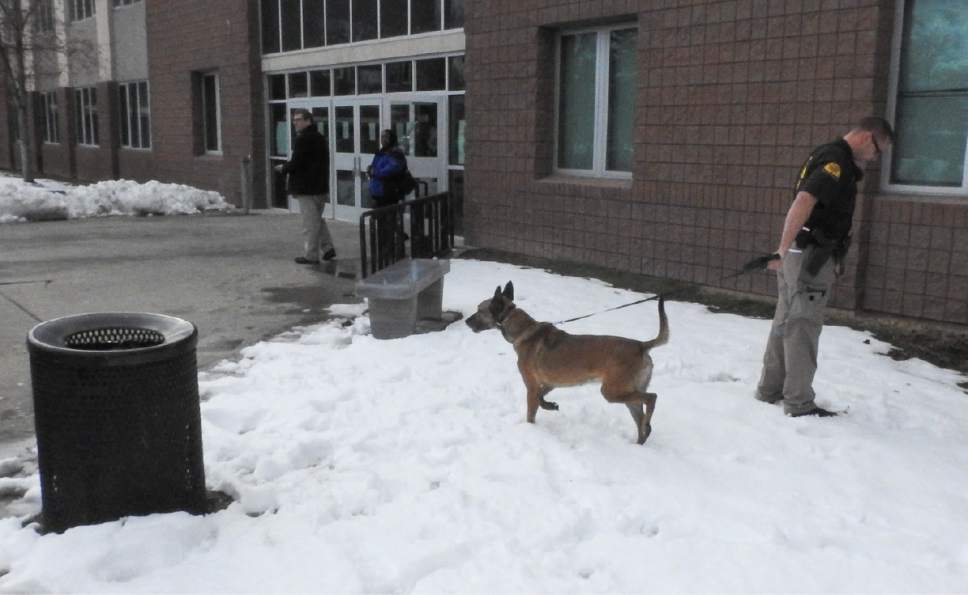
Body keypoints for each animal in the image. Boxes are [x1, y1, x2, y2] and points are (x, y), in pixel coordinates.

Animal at [466, 282, 664, 444]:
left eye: (480, 310)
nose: (466, 321)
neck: (523, 330)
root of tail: (641, 345)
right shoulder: (548, 384)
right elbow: (541, 399)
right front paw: (551, 405)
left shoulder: (531, 386)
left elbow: (531, 412)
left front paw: (531, 429)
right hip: (626, 392)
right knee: (641, 417)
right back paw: (642, 438)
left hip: (612, 391)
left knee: (652, 398)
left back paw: (647, 424)